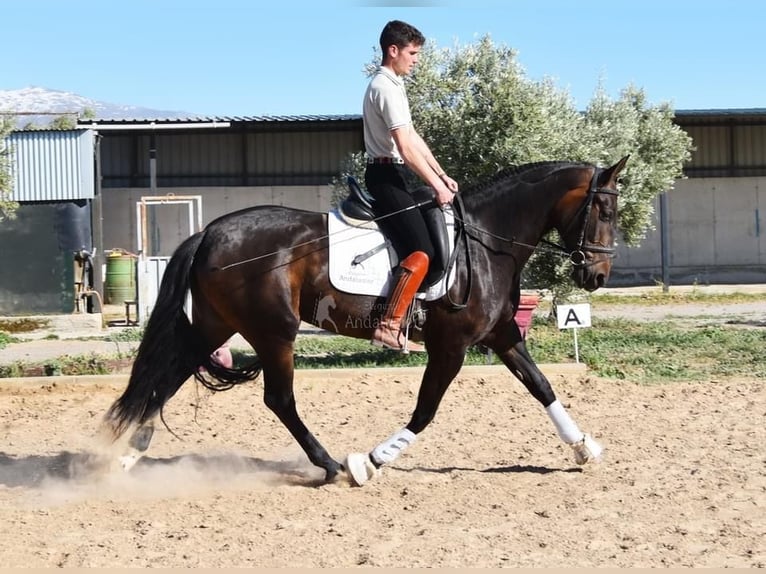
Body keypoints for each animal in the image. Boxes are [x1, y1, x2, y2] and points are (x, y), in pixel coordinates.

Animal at [100, 156, 632, 486]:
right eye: (605, 209)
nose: (598, 276)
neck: (487, 243)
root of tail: (210, 231)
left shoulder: (502, 335)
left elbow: (542, 386)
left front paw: (584, 447)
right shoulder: (451, 347)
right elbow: (425, 411)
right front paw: (369, 462)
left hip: (215, 325)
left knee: (169, 376)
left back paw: (129, 454)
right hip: (273, 332)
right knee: (278, 399)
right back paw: (330, 465)